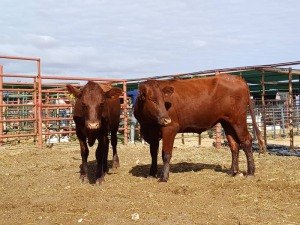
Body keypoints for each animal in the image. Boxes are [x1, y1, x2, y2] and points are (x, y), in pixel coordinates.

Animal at [135, 74, 266, 182]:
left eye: (164, 100)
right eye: (152, 99)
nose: (166, 119)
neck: (148, 123)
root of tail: (238, 79)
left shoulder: (170, 128)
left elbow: (166, 154)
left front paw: (164, 177)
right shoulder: (151, 133)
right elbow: (153, 153)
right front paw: (151, 174)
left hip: (238, 120)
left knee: (246, 141)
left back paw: (250, 173)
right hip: (227, 122)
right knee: (234, 145)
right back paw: (232, 171)